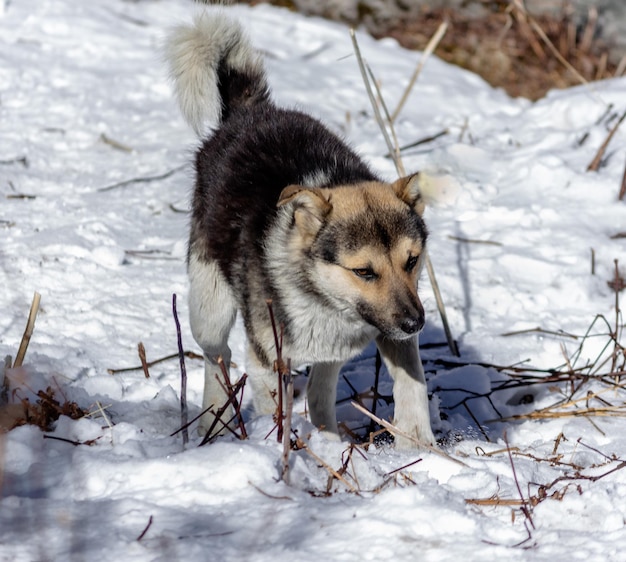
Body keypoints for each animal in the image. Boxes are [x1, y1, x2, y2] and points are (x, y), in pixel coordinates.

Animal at [166, 10, 434, 446]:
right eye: (364, 271)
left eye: (411, 261)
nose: (416, 323)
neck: (325, 301)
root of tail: (250, 112)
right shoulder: (265, 358)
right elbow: (274, 407)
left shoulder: (383, 332)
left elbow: (412, 387)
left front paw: (422, 446)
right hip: (209, 307)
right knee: (216, 358)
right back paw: (212, 424)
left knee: (320, 389)